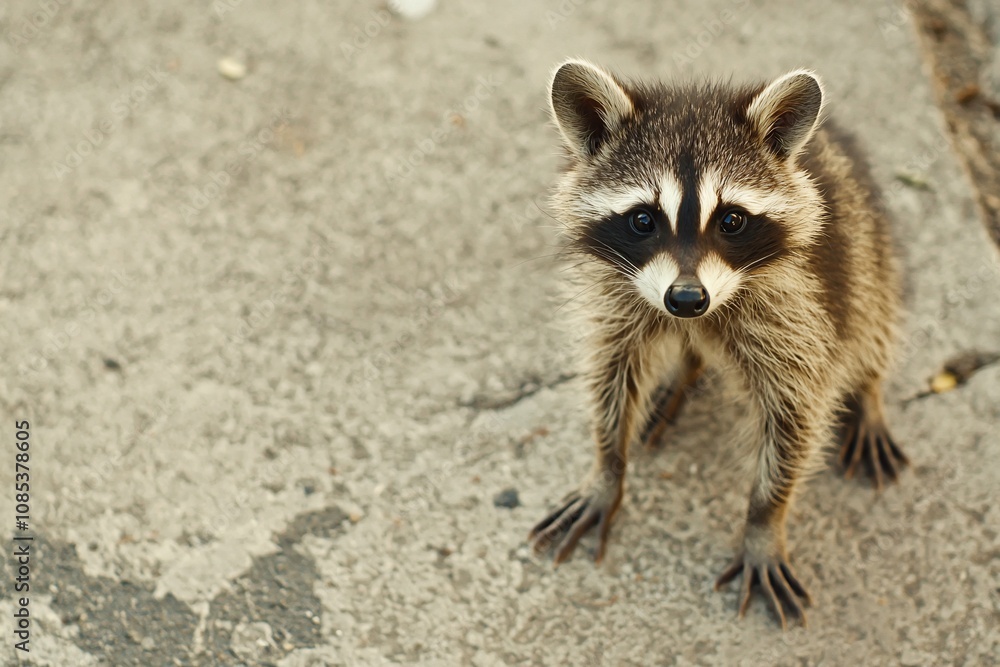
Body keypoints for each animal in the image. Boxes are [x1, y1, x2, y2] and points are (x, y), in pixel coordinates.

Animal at [529, 60, 908, 628]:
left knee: (868, 316)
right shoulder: (617, 298)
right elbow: (611, 372)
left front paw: (764, 520)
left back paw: (868, 394)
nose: (687, 299)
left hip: (869, 247)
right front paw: (607, 466)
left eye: (731, 220)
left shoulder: (797, 309)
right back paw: (679, 378)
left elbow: (795, 414)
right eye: (643, 219)